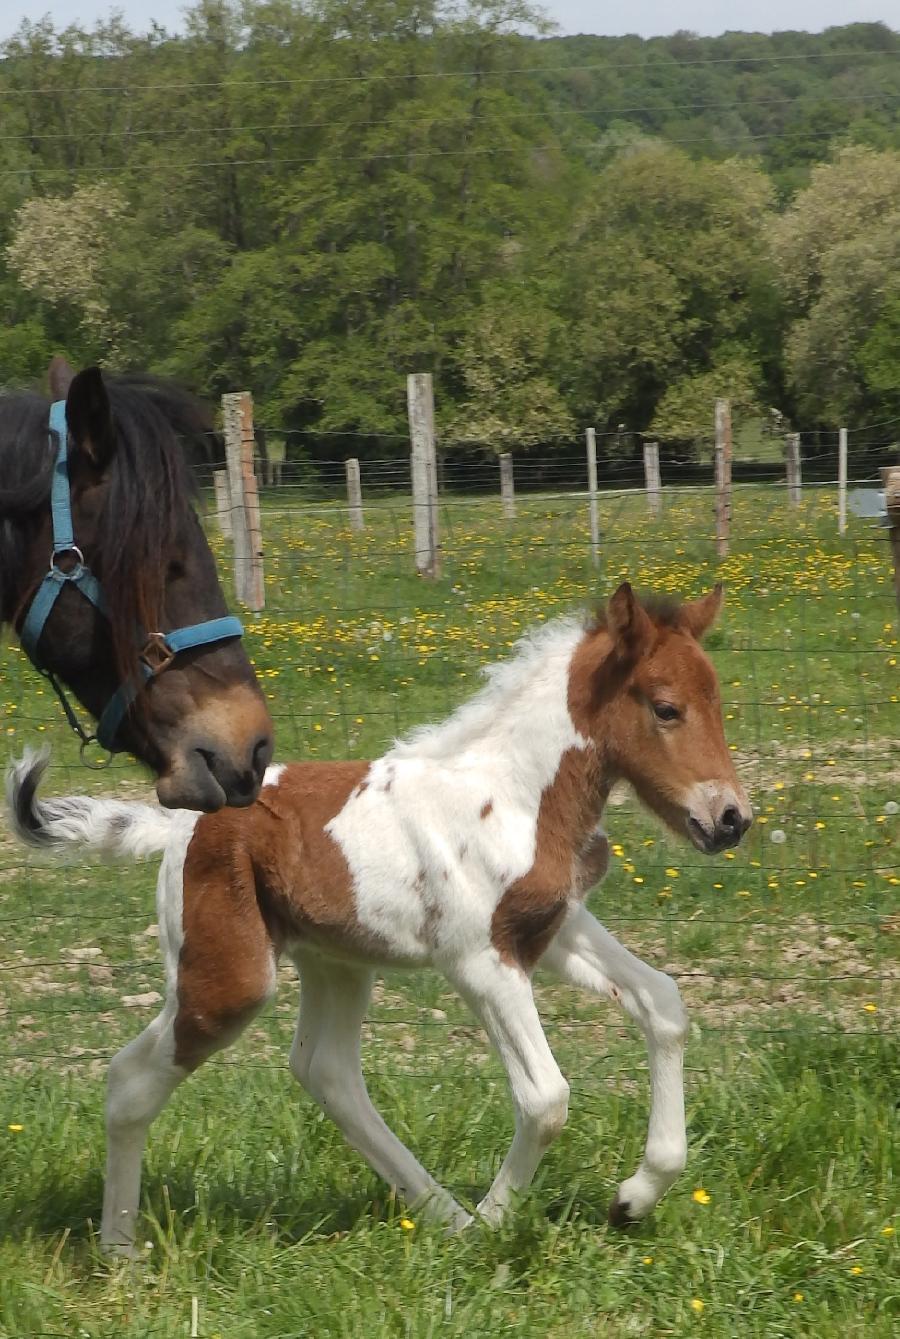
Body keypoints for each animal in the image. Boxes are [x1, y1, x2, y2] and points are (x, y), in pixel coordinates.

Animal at [8, 582, 752, 1254]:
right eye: (666, 708)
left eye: (718, 703)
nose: (730, 819)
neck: (514, 793)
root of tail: (176, 825)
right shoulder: (480, 961)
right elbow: (545, 1097)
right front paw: (495, 1228)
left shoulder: (553, 929)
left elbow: (663, 1002)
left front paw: (633, 1197)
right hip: (228, 976)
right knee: (132, 1080)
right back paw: (119, 1252)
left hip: (335, 961)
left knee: (327, 1070)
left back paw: (439, 1213)